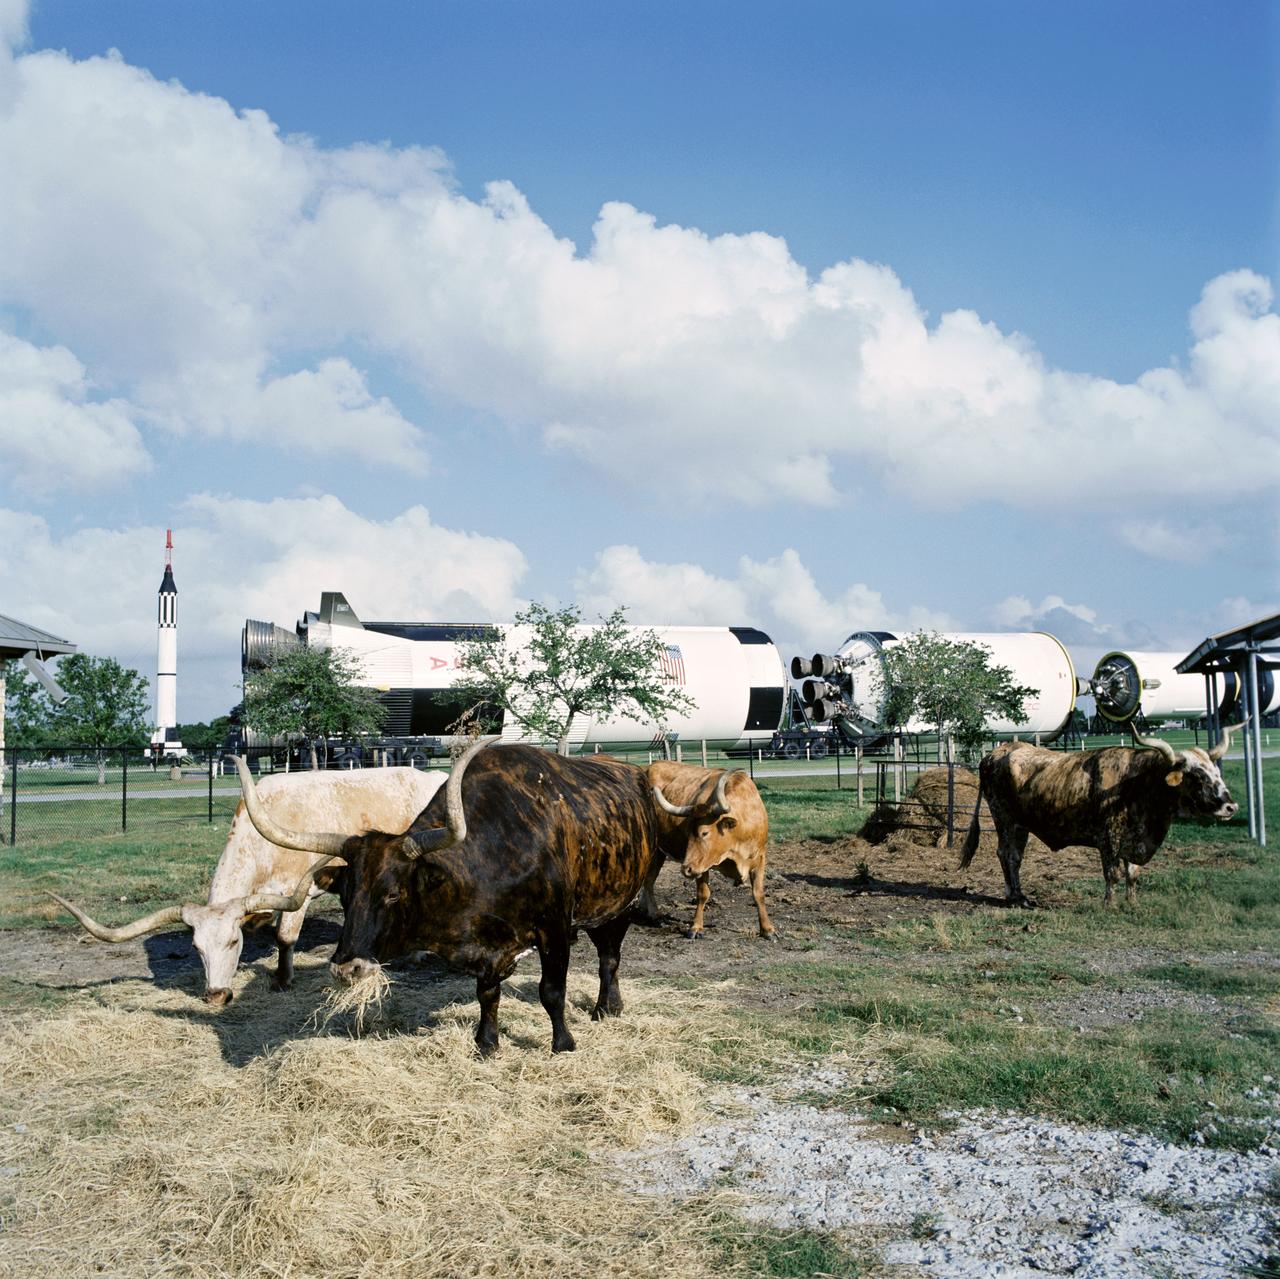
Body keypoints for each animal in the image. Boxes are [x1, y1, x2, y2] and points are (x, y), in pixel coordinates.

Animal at [49, 765, 443, 1004]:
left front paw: (283, 979)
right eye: (196, 947)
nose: (216, 995)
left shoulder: (297, 893)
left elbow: (284, 937)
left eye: (233, 941)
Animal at [234, 737, 673, 1056]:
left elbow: (552, 992)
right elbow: (487, 994)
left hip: (620, 904)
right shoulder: (490, 947)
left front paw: (563, 1044)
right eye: (343, 895)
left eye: (393, 895)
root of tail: (633, 773)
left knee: (609, 958)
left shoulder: (554, 930)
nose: (346, 969)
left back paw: (607, 1007)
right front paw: (486, 1044)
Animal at [637, 762, 776, 941]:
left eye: (704, 832)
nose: (686, 869)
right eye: (687, 832)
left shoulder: (760, 858)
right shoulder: (701, 865)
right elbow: (703, 893)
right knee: (649, 881)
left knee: (648, 880)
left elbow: (758, 894)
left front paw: (767, 929)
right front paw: (696, 927)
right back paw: (655, 915)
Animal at [958, 720, 1244, 907]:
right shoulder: (1108, 838)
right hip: (1005, 819)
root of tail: (997, 752)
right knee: (1008, 854)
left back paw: (1015, 895)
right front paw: (1109, 904)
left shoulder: (1135, 839)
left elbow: (1133, 874)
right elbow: (1112, 873)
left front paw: (1132, 903)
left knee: (1014, 856)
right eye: (1197, 776)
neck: (1139, 783)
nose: (1231, 807)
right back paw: (1017, 898)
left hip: (1021, 824)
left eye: (1217, 772)